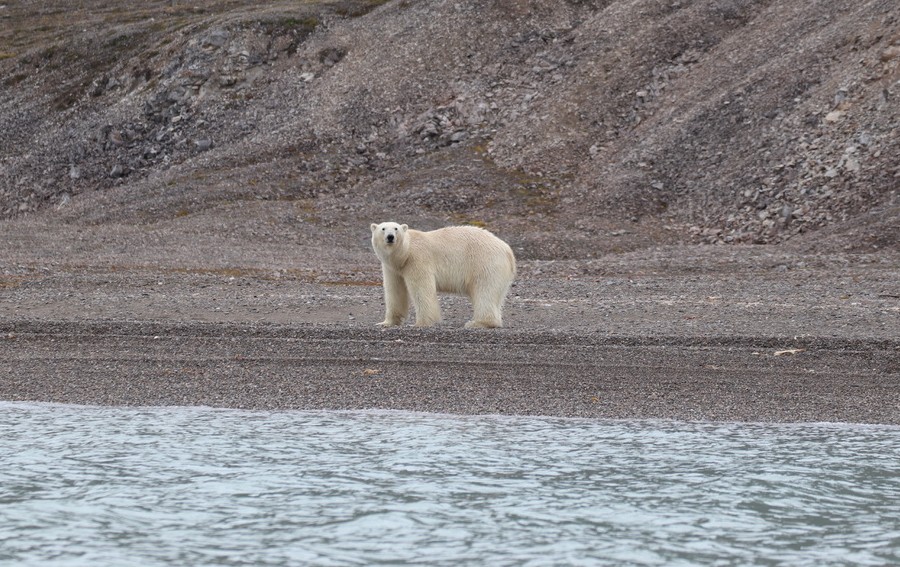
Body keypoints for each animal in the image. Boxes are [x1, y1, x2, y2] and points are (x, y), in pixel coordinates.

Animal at [370, 222, 516, 328]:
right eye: (383, 228)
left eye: (396, 228)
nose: (390, 237)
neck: (405, 253)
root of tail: (508, 251)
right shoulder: (392, 268)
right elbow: (394, 290)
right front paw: (386, 322)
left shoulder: (417, 259)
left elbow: (421, 289)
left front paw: (421, 323)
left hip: (485, 263)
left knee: (484, 291)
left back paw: (478, 323)